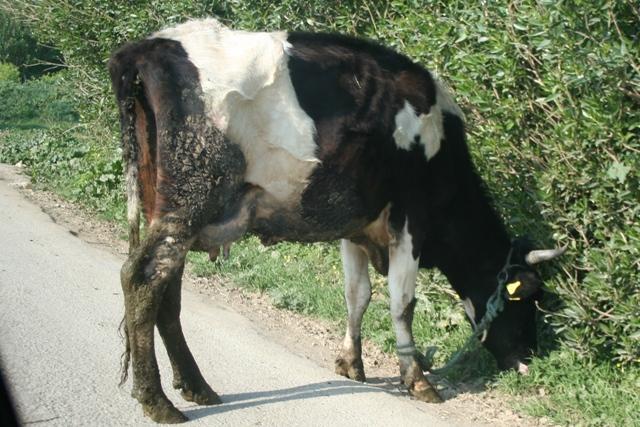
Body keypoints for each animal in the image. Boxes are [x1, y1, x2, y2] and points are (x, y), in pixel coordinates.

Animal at [108, 18, 565, 423]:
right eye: (530, 296)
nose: (528, 358)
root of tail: (150, 46)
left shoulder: (355, 224)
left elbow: (356, 294)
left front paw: (350, 362)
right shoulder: (410, 219)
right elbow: (402, 303)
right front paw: (417, 379)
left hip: (166, 205)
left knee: (167, 291)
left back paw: (196, 386)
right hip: (190, 202)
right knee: (142, 278)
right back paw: (158, 401)